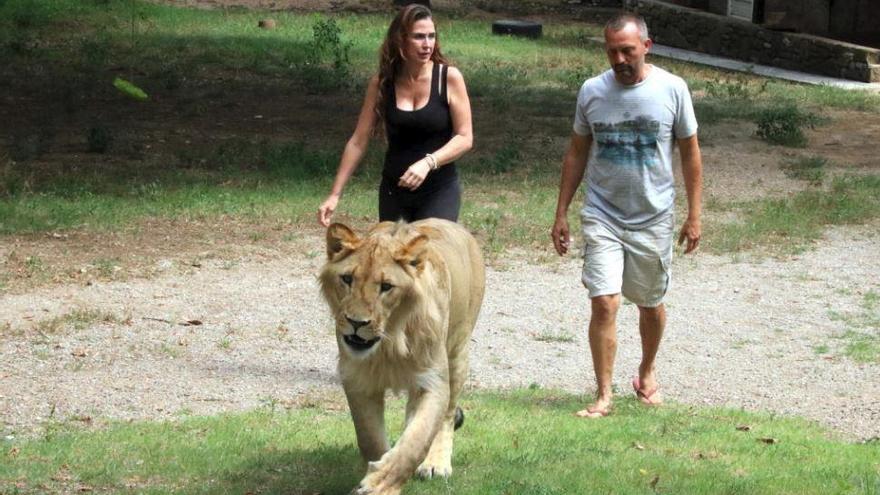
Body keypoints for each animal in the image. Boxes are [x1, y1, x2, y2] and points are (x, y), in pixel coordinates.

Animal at [322, 220, 488, 495]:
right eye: (347, 279)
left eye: (386, 287)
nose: (357, 323)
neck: (389, 344)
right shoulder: (358, 379)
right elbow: (370, 437)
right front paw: (378, 471)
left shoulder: (432, 381)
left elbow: (415, 442)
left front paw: (380, 486)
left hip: (458, 353)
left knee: (446, 416)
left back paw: (436, 464)